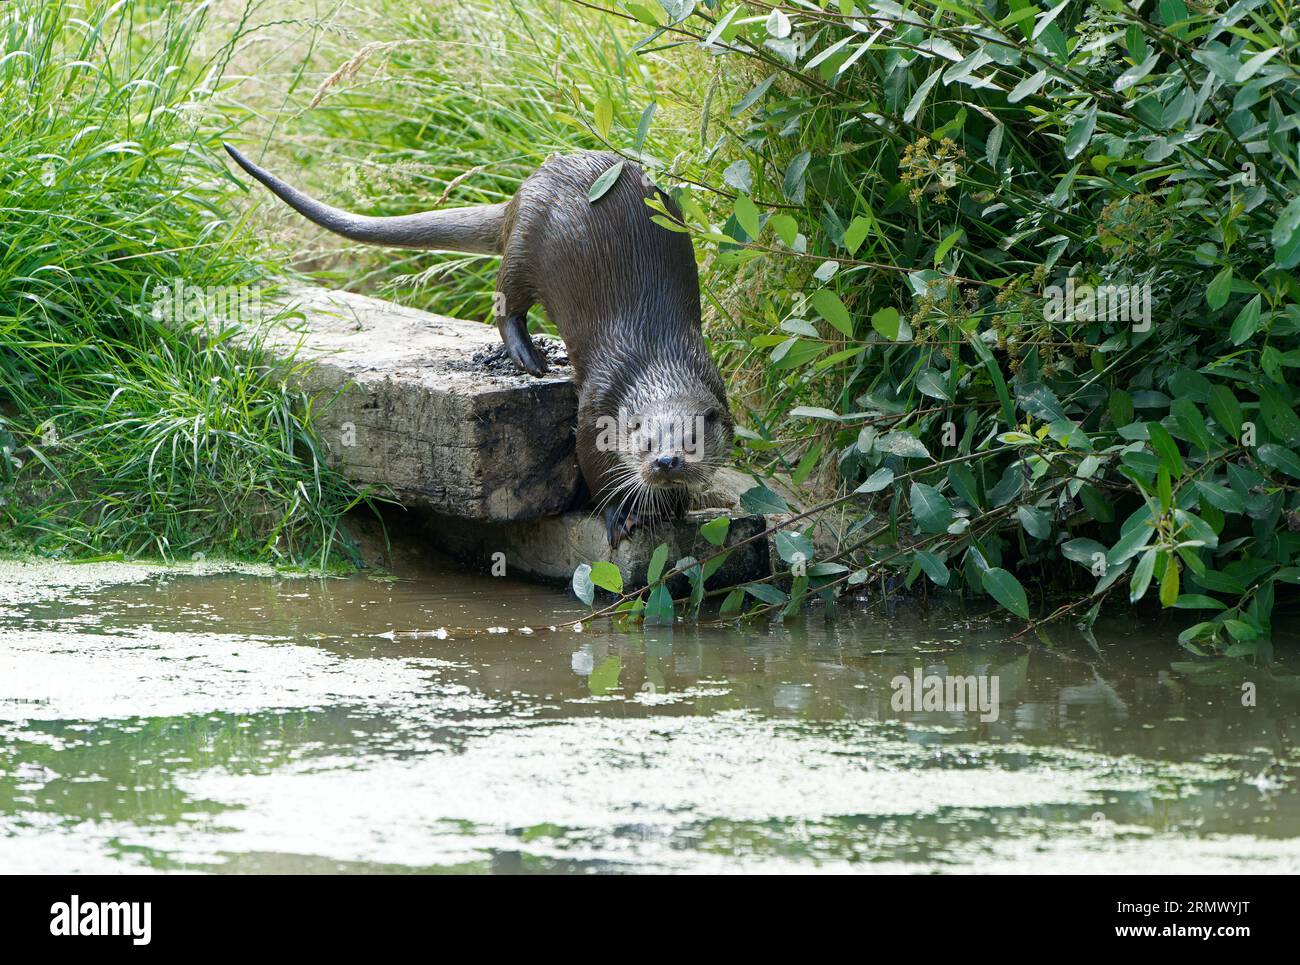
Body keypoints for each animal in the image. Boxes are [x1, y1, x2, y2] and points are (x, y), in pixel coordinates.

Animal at [223, 145, 733, 546]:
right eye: (645, 442)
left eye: (691, 439)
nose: (665, 461)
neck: (654, 362)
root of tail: (520, 194)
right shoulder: (598, 404)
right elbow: (594, 465)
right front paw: (620, 515)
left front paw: (676, 505)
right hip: (525, 248)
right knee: (505, 301)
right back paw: (531, 358)